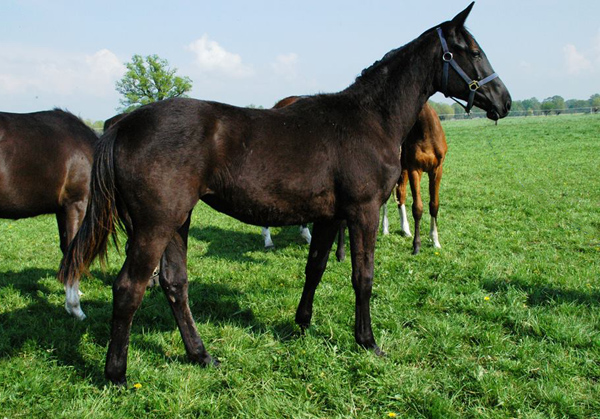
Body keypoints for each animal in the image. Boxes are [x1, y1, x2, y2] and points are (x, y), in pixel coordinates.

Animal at [58, 2, 508, 388]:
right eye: (472, 50)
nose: (503, 100)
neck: (368, 118)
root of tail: (123, 125)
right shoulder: (362, 212)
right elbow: (362, 277)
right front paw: (367, 341)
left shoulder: (329, 216)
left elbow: (316, 268)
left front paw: (302, 322)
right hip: (155, 224)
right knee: (129, 288)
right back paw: (116, 374)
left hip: (176, 221)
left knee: (173, 283)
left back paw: (201, 355)